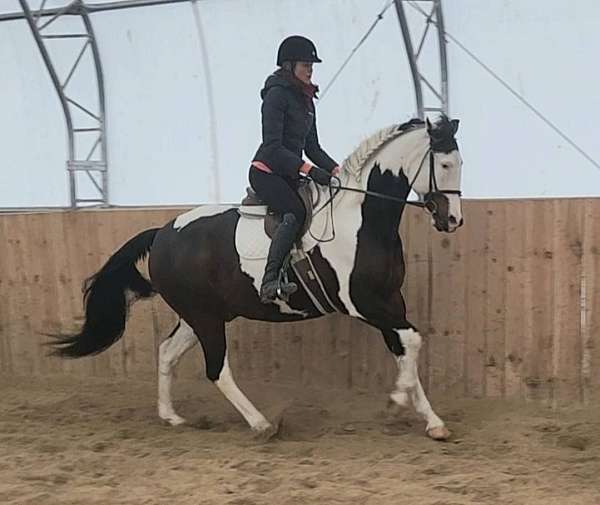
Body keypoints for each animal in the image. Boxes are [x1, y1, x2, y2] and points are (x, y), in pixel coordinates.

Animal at [51, 116, 464, 440]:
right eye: (445, 164)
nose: (452, 220)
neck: (362, 221)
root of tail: (163, 232)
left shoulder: (390, 301)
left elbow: (405, 347)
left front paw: (431, 421)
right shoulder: (364, 303)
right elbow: (412, 341)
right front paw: (396, 402)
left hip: (199, 315)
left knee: (168, 352)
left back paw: (171, 416)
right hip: (205, 318)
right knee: (217, 369)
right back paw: (262, 424)